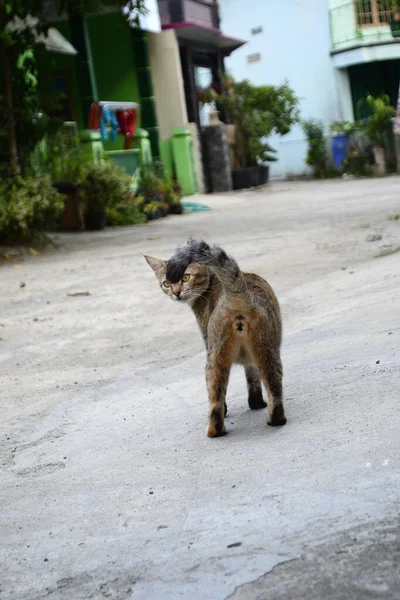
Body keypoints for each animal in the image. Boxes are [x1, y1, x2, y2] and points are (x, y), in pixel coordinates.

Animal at [145, 239, 286, 436]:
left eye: (185, 277)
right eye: (166, 283)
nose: (176, 293)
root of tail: (240, 295)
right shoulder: (251, 361)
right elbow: (252, 378)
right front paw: (256, 403)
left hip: (215, 356)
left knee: (215, 400)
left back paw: (214, 430)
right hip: (267, 351)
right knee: (274, 387)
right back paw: (274, 420)